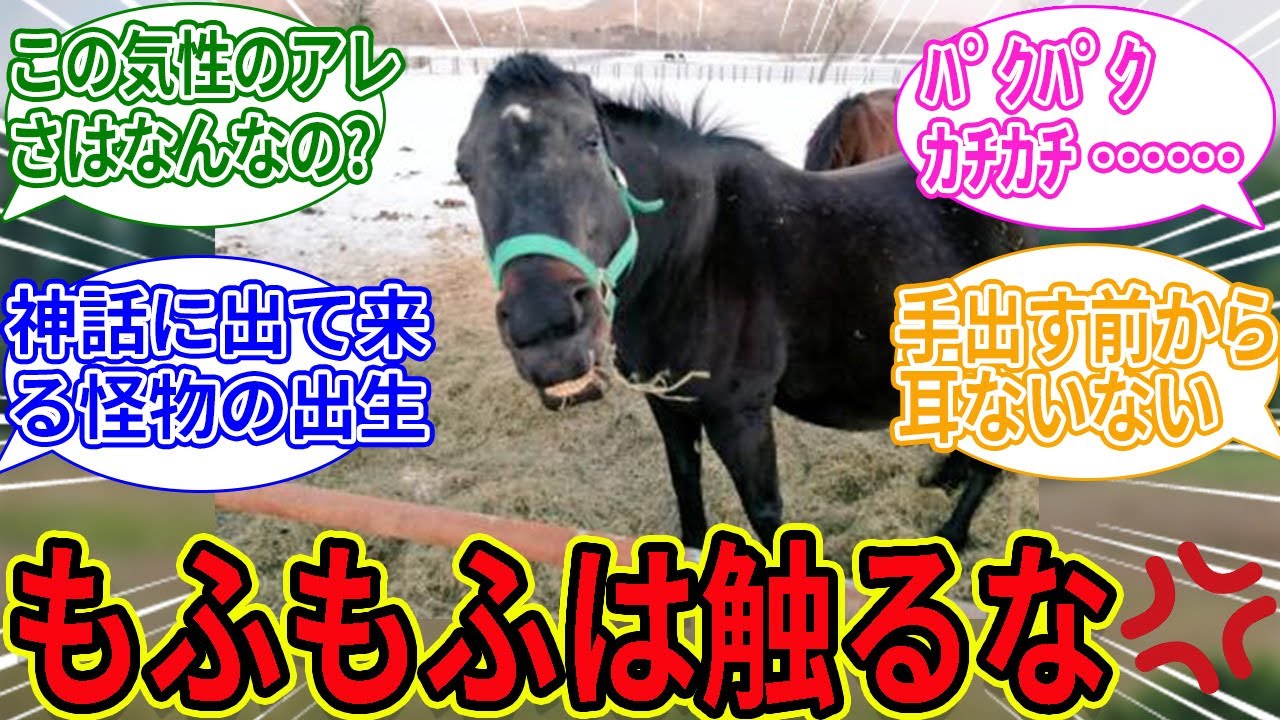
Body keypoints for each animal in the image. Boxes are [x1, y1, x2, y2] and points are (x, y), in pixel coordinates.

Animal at [455, 53, 1035, 550]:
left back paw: (952, 533)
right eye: (465, 170)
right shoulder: (669, 404)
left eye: (591, 141)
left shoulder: (741, 416)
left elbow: (765, 512)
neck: (698, 252)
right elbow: (685, 484)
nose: (547, 330)